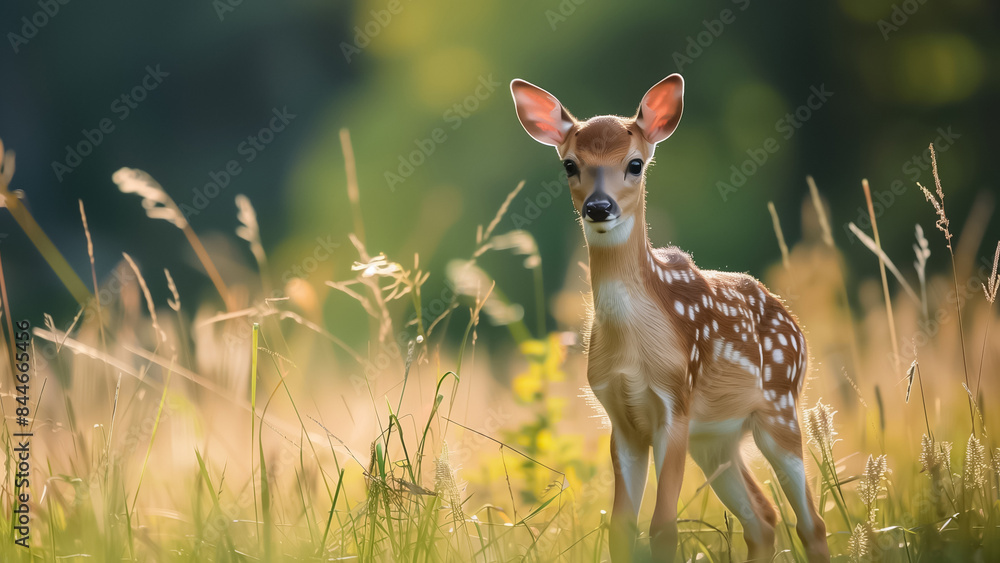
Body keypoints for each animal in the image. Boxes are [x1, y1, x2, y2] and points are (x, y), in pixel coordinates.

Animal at [512, 75, 832, 563]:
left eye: (635, 163)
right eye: (570, 164)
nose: (599, 207)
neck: (632, 347)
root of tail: (795, 323)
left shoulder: (674, 403)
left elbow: (663, 528)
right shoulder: (621, 419)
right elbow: (621, 528)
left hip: (780, 408)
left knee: (810, 523)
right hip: (716, 439)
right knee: (762, 518)